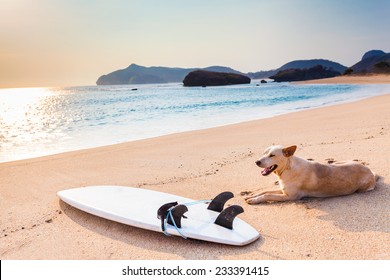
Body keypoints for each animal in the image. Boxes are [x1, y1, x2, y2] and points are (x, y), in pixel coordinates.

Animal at [245, 145, 376, 205]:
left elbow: (268, 195)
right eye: (264, 153)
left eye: (272, 155)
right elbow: (265, 191)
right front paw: (252, 196)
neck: (287, 168)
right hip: (340, 162)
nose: (257, 162)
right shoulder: (283, 190)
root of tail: (371, 172)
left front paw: (254, 200)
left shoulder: (290, 196)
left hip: (362, 188)